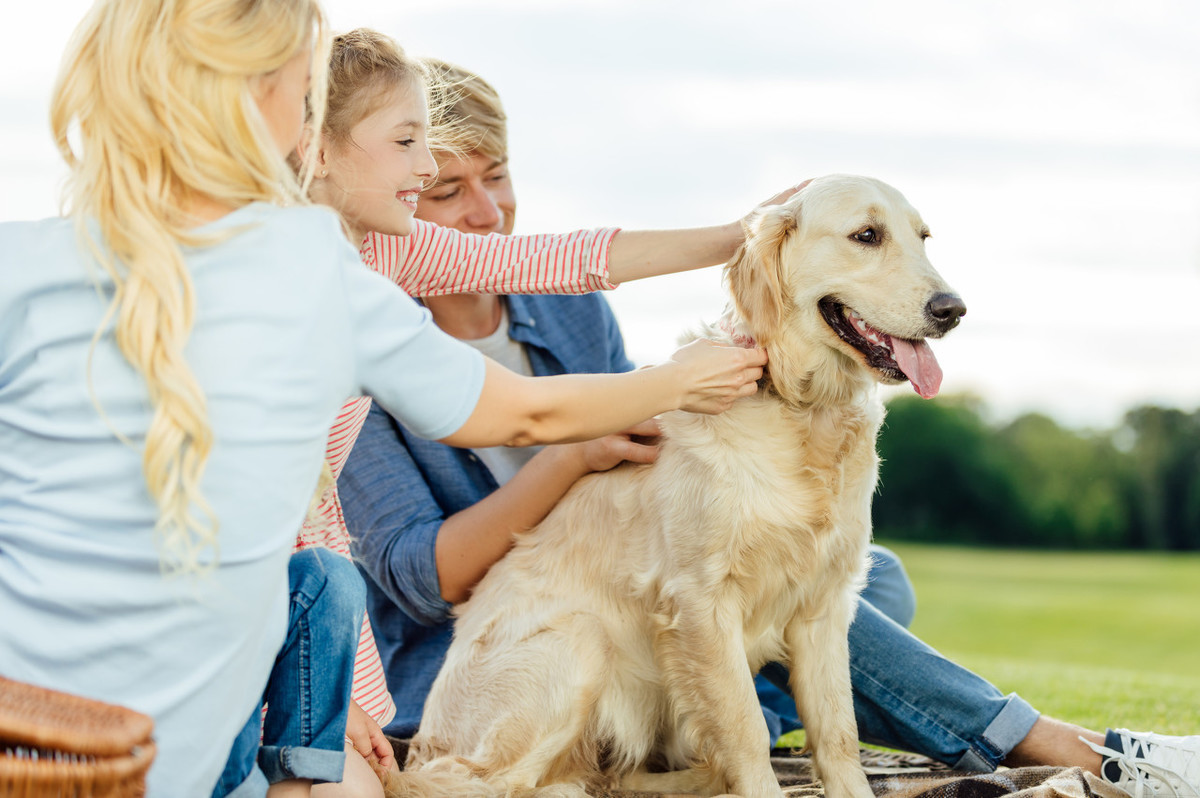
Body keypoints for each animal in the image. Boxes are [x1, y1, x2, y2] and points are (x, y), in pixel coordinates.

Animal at [384, 176, 964, 796]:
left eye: (924, 237)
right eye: (866, 235)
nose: (953, 309)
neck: (801, 408)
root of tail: (417, 748)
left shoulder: (824, 604)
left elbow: (838, 734)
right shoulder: (700, 600)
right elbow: (747, 731)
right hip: (579, 639)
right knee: (490, 782)